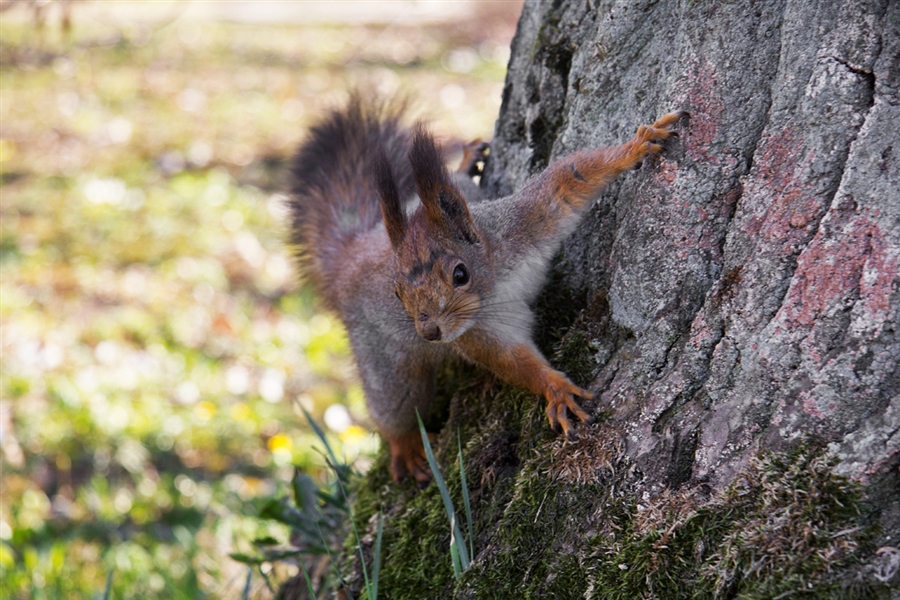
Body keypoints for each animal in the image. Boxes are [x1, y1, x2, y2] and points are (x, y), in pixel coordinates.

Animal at [288, 95, 684, 488]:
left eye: (460, 274)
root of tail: (351, 258)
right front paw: (553, 388)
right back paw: (406, 446)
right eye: (397, 293)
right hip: (381, 359)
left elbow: (571, 177)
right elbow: (510, 359)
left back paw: (465, 161)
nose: (429, 332)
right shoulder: (476, 331)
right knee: (393, 408)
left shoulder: (524, 222)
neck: (494, 280)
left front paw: (635, 147)